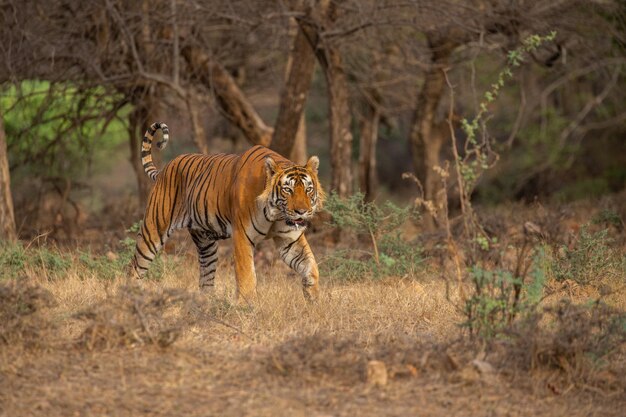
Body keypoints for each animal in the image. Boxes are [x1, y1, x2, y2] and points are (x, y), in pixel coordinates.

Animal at [132, 121, 326, 302]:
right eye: (288, 190)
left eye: (308, 189)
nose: (302, 211)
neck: (276, 215)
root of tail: (164, 168)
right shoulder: (242, 236)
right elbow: (246, 275)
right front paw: (247, 307)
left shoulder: (289, 240)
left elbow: (311, 266)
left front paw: (313, 298)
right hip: (153, 229)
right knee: (135, 265)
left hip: (206, 243)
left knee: (206, 278)